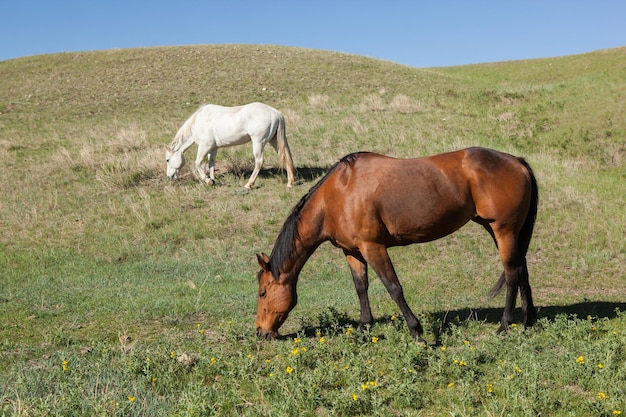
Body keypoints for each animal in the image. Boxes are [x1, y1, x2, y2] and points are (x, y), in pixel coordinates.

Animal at [165, 102, 294, 188]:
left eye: (167, 159)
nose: (169, 177)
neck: (197, 122)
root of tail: (275, 113)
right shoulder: (213, 148)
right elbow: (211, 164)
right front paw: (212, 179)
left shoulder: (204, 146)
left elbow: (198, 163)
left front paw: (208, 181)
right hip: (274, 141)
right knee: (285, 156)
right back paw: (290, 182)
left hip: (258, 142)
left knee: (259, 161)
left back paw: (249, 184)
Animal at [255, 146, 536, 342]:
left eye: (263, 293)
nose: (260, 331)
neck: (337, 195)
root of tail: (517, 162)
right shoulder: (352, 251)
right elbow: (361, 288)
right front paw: (364, 327)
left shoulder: (373, 247)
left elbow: (394, 288)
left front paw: (417, 332)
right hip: (503, 231)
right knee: (522, 269)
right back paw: (528, 320)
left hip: (503, 230)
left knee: (512, 273)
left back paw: (504, 325)